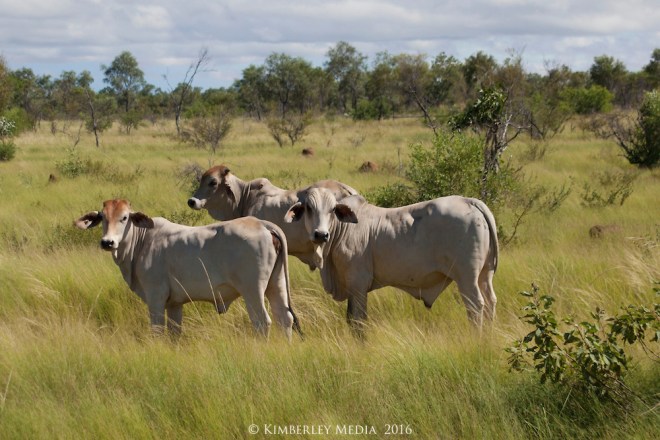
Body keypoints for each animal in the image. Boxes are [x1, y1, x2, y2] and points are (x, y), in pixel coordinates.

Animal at [75, 199, 301, 340]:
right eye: (103, 218)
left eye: (124, 218)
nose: (108, 242)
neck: (143, 240)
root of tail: (262, 224)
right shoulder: (174, 304)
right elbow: (175, 333)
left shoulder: (155, 297)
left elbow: (157, 330)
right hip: (276, 285)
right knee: (285, 319)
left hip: (253, 290)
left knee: (262, 322)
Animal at [284, 188, 499, 329]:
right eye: (309, 208)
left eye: (332, 210)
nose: (321, 234)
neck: (342, 229)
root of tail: (469, 201)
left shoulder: (358, 284)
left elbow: (357, 321)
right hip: (485, 274)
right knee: (490, 301)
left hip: (467, 278)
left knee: (475, 306)